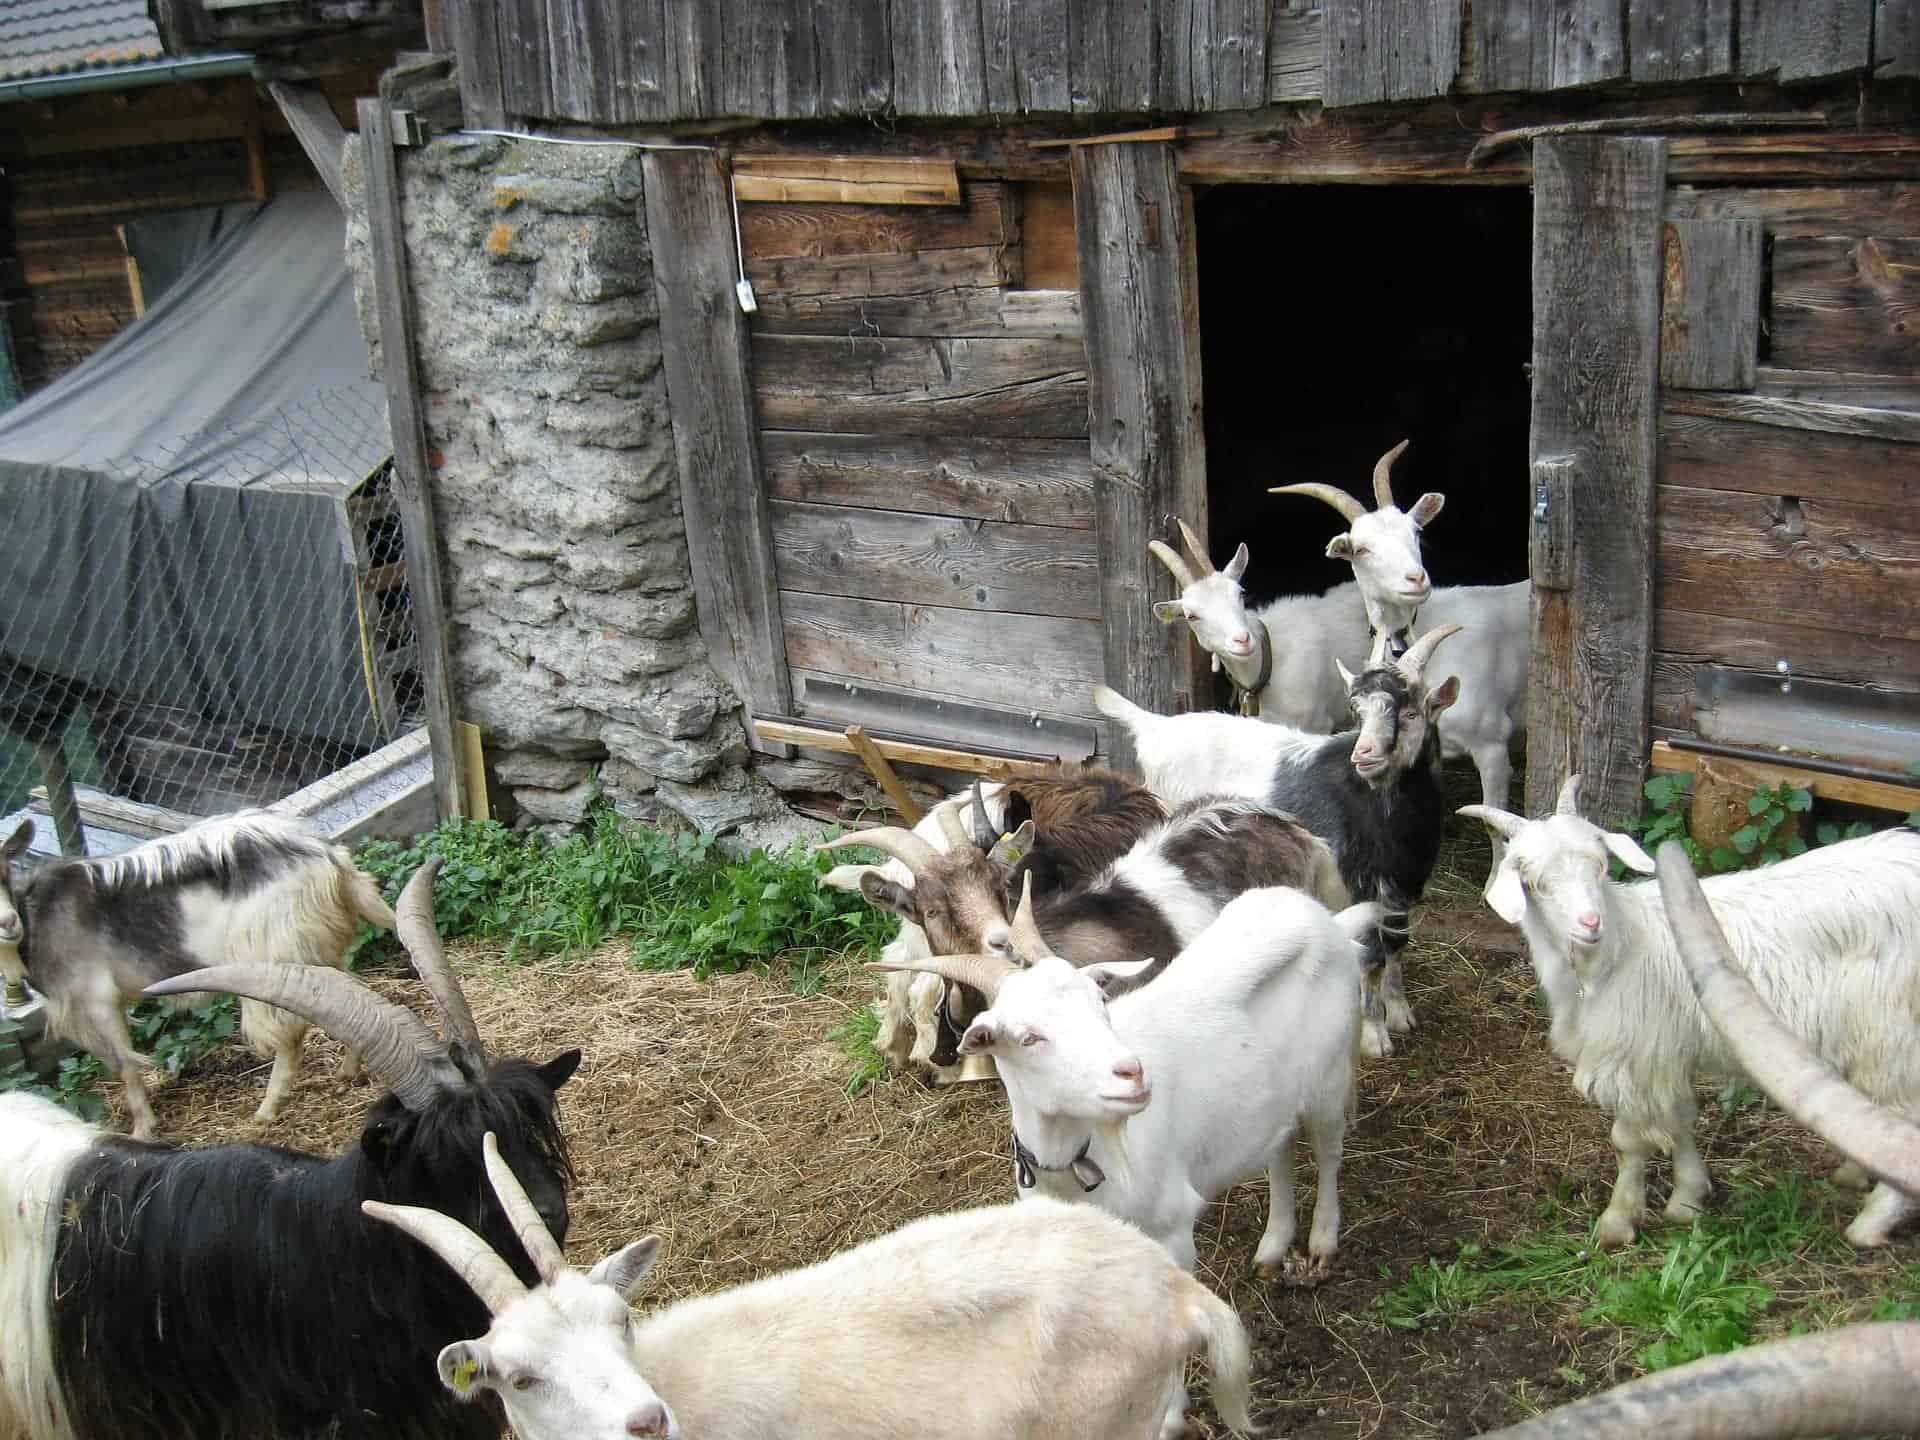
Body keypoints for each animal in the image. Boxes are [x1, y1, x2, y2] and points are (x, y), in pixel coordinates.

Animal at [0, 811, 396, 1139]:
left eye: (3, 871)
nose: (8, 923)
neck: (37, 916)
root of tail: (327, 856)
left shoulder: (98, 999)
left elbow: (124, 1063)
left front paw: (143, 1129)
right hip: (313, 950)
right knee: (348, 999)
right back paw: (346, 1072)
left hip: (272, 956)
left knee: (290, 1035)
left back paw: (267, 1110)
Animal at [881, 879, 1373, 1432]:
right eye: (1028, 1037)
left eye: (1100, 1000)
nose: (1131, 1073)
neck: (1080, 1160)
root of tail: (1329, 924)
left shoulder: (1172, 1229)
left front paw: (1171, 1414)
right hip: (1274, 1099)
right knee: (1281, 1149)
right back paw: (1272, 1245)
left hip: (1331, 1075)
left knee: (1329, 1152)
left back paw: (1322, 1242)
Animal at [1096, 623, 1461, 1056]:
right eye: (1358, 712)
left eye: (1410, 712)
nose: (1365, 754)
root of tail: (1154, 726)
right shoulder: (1360, 881)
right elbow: (1371, 956)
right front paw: (1375, 1035)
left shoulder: (1405, 881)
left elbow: (1396, 944)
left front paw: (1400, 1012)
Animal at [1461, 778, 1920, 1248]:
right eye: (1534, 882)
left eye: (1600, 865)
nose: (1590, 923)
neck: (1615, 953)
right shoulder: (1664, 1053)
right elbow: (1680, 1120)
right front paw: (1688, 1199)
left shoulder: (1637, 1055)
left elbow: (1629, 1141)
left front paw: (1618, 1221)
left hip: (1894, 1035)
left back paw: (1870, 1224)